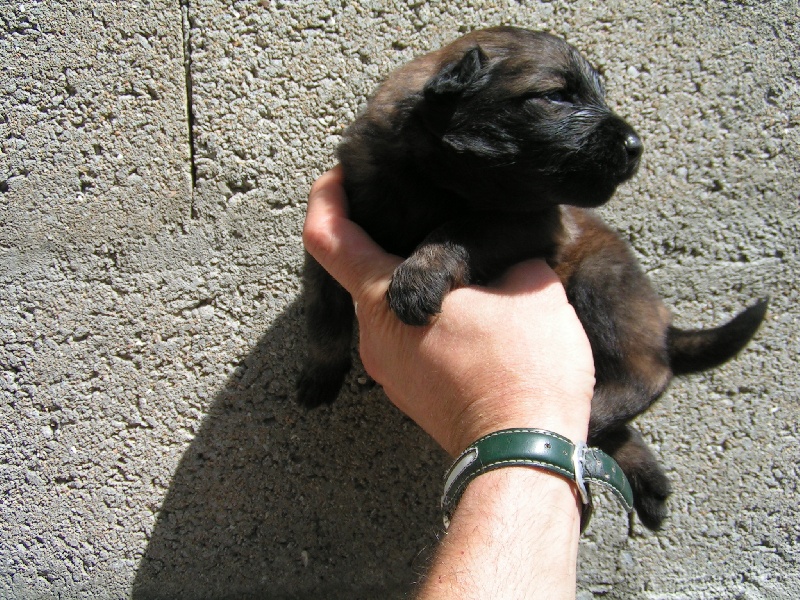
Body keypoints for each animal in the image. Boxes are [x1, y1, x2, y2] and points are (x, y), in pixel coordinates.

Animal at [296, 26, 767, 530]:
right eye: (557, 96)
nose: (636, 145)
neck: (433, 183)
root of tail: (663, 321)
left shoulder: (530, 224)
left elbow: (462, 228)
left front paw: (418, 279)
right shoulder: (336, 230)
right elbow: (324, 312)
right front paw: (320, 374)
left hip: (600, 284)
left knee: (646, 375)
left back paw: (594, 417)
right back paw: (647, 481)